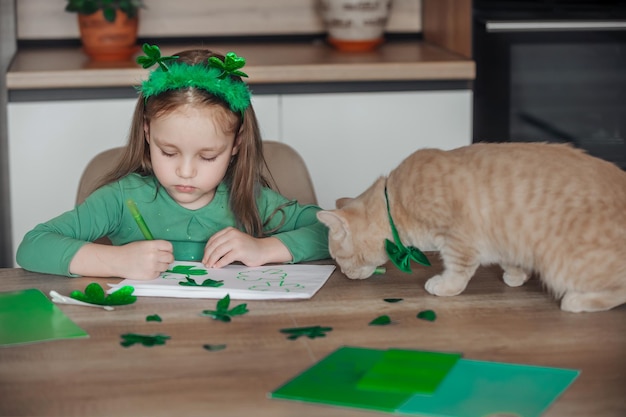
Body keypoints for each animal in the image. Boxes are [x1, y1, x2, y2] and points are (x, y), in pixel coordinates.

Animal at [316, 141, 624, 310]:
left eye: (338, 259)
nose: (344, 274)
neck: (397, 202)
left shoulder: (458, 238)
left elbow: (458, 269)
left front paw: (445, 286)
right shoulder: (505, 238)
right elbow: (510, 258)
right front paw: (517, 275)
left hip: (562, 265)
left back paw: (576, 301)